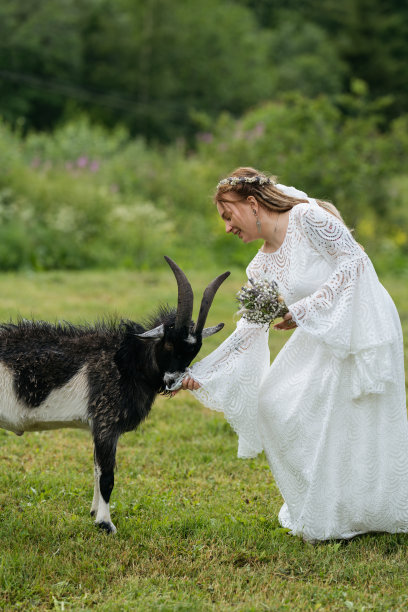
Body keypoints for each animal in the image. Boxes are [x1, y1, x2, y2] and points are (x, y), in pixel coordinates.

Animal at [0, 256, 230, 532]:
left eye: (195, 349)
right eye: (168, 343)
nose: (173, 382)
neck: (125, 361)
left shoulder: (99, 427)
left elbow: (97, 469)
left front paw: (93, 513)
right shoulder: (106, 422)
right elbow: (107, 476)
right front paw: (105, 524)